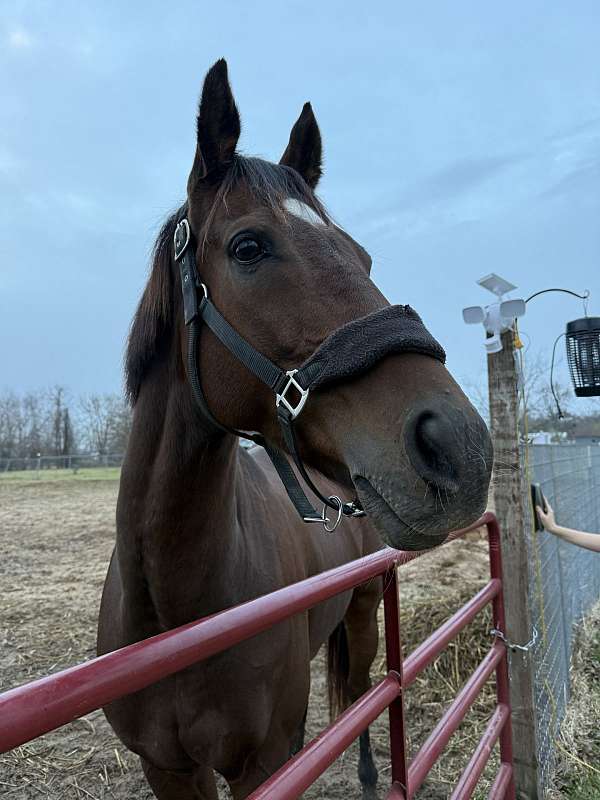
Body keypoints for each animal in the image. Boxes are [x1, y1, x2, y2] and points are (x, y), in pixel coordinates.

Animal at [98, 59, 492, 800]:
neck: (177, 614)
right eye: (249, 247)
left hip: (363, 616)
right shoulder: (168, 767)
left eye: (363, 257)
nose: (459, 447)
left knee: (363, 695)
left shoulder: (263, 761)